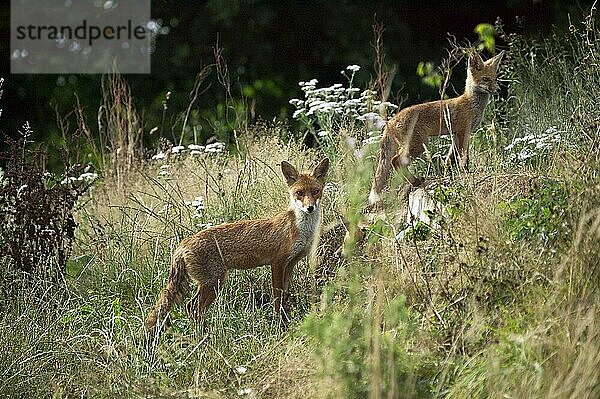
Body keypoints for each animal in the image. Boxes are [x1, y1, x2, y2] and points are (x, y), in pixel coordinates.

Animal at [147, 159, 330, 332]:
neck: (301, 229)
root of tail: (183, 244)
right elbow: (277, 298)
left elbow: (285, 295)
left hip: (210, 283)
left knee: (191, 308)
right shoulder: (277, 262)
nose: (310, 208)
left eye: (315, 191)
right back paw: (205, 336)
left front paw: (286, 320)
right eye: (299, 193)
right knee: (192, 308)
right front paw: (279, 323)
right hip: (214, 282)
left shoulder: (290, 264)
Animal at [368, 50, 504, 206]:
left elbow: (450, 159)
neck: (472, 103)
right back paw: (415, 181)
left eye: (495, 79)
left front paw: (448, 175)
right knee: (396, 161)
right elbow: (464, 157)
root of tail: (389, 122)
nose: (498, 90)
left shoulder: (456, 135)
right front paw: (465, 173)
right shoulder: (464, 131)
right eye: (486, 79)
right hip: (419, 144)